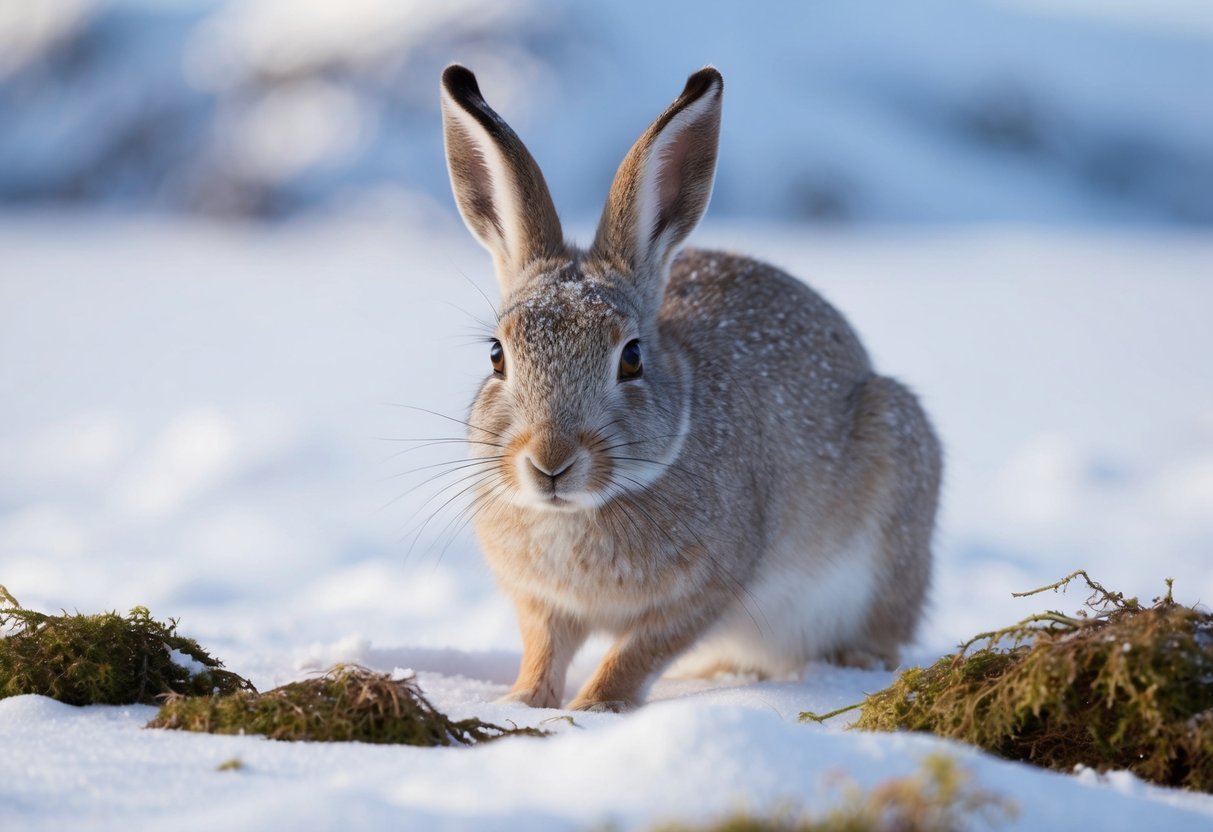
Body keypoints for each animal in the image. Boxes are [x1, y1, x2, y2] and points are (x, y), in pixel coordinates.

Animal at [439, 63, 942, 712]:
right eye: (497, 356)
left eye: (631, 358)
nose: (550, 462)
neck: (580, 509)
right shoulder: (542, 604)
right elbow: (544, 649)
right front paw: (523, 701)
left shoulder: (705, 589)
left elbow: (637, 652)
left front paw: (597, 707)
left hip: (894, 473)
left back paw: (854, 662)